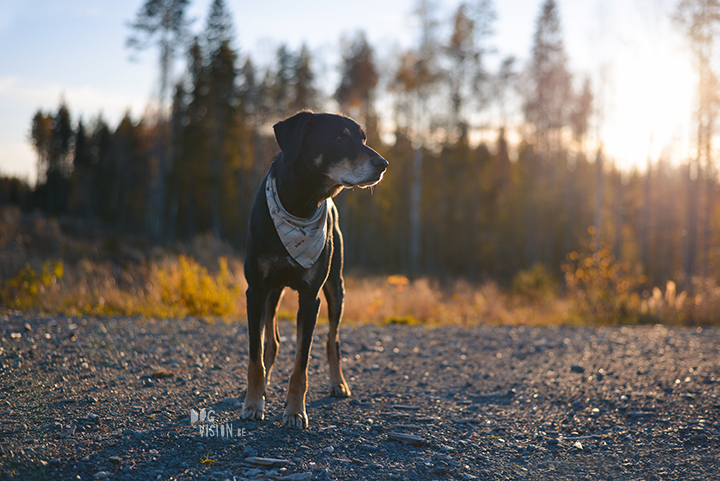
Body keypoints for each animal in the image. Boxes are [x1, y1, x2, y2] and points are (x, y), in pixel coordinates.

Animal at [240, 111, 388, 428]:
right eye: (339, 137)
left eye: (363, 138)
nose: (383, 164)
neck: (301, 205)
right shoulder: (256, 291)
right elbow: (256, 355)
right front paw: (253, 402)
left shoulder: (311, 298)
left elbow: (302, 362)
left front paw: (295, 411)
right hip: (273, 293)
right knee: (272, 342)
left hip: (336, 289)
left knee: (333, 340)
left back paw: (338, 383)